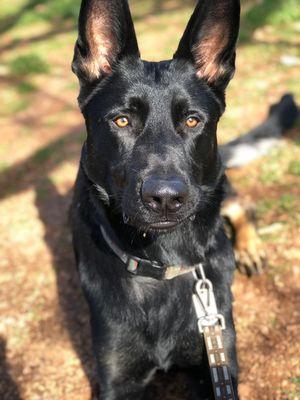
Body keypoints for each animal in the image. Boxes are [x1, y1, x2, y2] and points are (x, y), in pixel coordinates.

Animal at [70, 0, 298, 398]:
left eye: (192, 121)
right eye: (122, 121)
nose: (165, 198)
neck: (162, 264)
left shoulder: (218, 362)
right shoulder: (118, 380)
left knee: (239, 204)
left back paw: (250, 248)